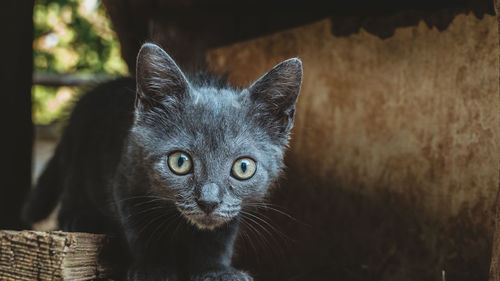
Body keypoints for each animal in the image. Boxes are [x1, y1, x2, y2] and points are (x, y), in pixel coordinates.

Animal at [21, 42, 302, 280]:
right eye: (180, 162)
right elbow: (143, 231)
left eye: (243, 167)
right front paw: (154, 269)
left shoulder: (234, 208)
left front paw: (216, 270)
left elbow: (219, 236)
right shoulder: (128, 178)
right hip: (79, 154)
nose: (209, 201)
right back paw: (79, 218)